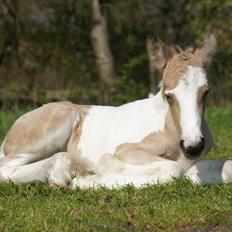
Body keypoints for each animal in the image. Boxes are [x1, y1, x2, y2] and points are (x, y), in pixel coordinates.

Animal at [0, 33, 232, 188]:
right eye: (169, 95)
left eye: (206, 92)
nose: (193, 146)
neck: (169, 128)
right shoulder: (126, 151)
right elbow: (173, 169)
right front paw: (91, 178)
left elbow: (223, 167)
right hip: (55, 127)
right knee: (6, 168)